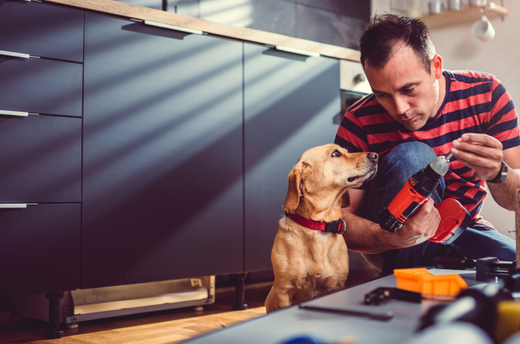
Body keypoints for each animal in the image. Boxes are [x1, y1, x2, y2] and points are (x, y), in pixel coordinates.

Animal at [264, 142, 378, 312]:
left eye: (347, 150)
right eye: (336, 153)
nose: (376, 155)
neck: (319, 226)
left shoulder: (336, 285)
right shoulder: (283, 292)